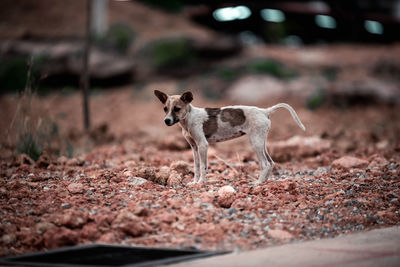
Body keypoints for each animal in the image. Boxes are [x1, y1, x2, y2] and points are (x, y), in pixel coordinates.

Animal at [155, 90, 304, 184]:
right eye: (165, 109)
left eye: (177, 109)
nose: (166, 121)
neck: (189, 119)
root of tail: (264, 111)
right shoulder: (194, 147)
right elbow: (196, 167)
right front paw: (194, 182)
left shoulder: (203, 145)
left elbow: (203, 167)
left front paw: (201, 182)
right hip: (261, 142)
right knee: (271, 162)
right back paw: (264, 182)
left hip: (255, 143)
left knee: (265, 164)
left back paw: (258, 183)